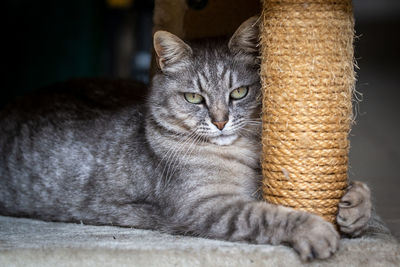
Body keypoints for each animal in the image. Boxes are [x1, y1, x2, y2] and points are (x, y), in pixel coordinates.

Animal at [0, 16, 372, 262]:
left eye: (239, 92)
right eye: (194, 98)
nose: (220, 122)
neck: (243, 153)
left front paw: (355, 205)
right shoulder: (205, 206)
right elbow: (267, 214)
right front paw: (315, 229)